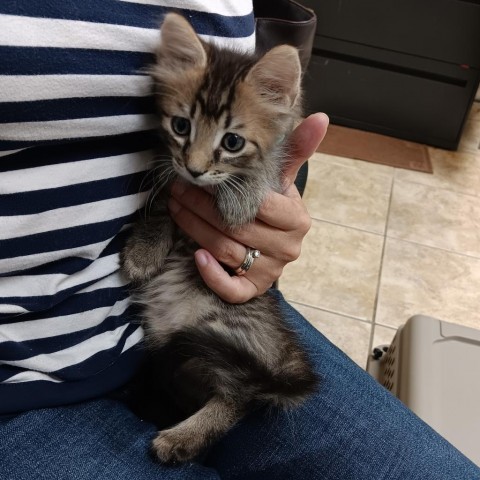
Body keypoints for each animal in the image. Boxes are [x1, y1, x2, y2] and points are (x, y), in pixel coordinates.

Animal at [122, 13, 318, 464]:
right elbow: (163, 200)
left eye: (232, 142)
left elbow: (259, 178)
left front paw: (240, 200)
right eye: (181, 126)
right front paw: (145, 251)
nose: (194, 169)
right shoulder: (169, 171)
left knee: (240, 396)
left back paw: (183, 437)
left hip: (224, 332)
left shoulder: (273, 171)